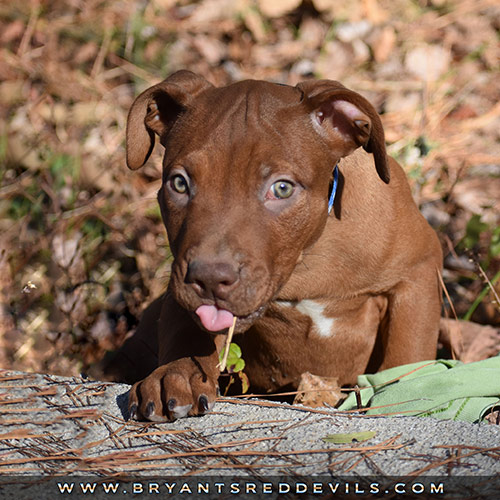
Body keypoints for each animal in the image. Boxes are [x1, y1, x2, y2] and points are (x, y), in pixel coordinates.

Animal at [125, 70, 442, 422]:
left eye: (282, 188)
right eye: (179, 183)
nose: (208, 279)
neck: (308, 256)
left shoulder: (416, 274)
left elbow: (407, 354)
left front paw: (406, 397)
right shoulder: (177, 285)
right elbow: (184, 326)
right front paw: (175, 374)